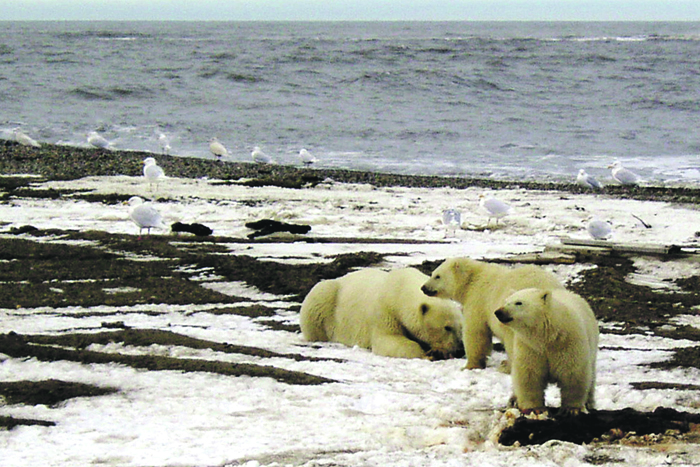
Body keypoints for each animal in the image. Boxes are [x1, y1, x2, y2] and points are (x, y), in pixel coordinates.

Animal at [300, 266, 464, 362]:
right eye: (447, 327)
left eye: (460, 327)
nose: (459, 350)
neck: (400, 290)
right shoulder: (385, 311)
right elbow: (388, 340)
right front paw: (427, 354)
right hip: (327, 299)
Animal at [422, 258, 564, 372]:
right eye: (433, 273)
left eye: (437, 276)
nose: (423, 287)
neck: (473, 279)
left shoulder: (479, 299)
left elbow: (476, 332)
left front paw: (469, 366)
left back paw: (507, 367)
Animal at [494, 288, 600, 416]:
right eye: (506, 301)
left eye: (519, 302)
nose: (498, 312)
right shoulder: (529, 347)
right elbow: (529, 374)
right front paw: (534, 409)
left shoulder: (568, 343)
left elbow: (573, 373)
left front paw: (571, 408)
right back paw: (513, 401)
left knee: (591, 376)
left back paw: (589, 403)